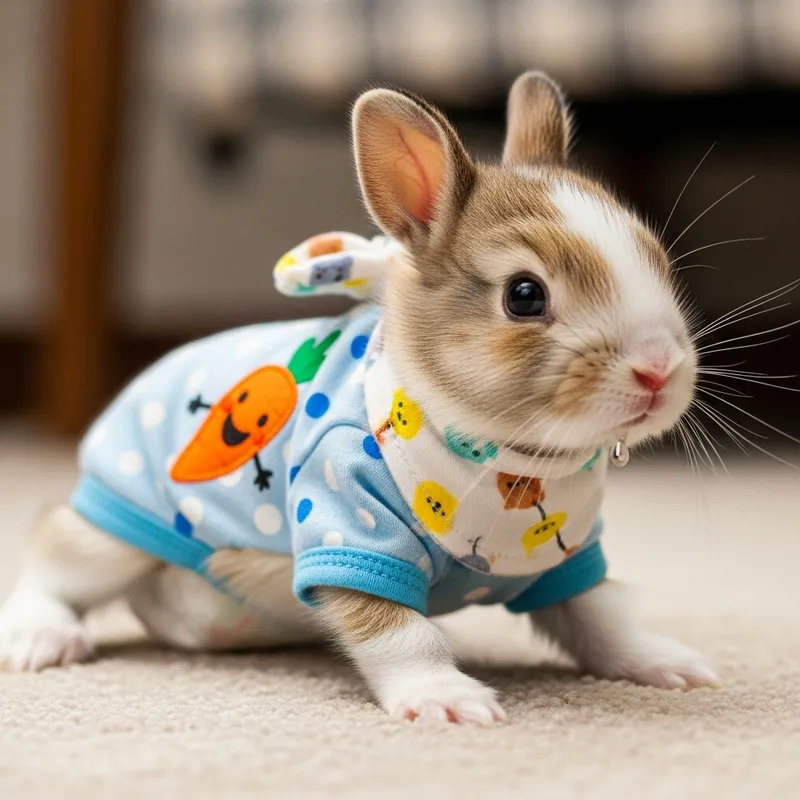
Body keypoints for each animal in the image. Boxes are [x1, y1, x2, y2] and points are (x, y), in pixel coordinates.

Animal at [0, 72, 717, 725]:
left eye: (657, 263)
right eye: (523, 295)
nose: (659, 369)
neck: (500, 459)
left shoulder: (567, 558)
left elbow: (603, 615)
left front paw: (671, 665)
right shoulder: (348, 526)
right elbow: (400, 632)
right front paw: (448, 701)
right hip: (112, 531)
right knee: (50, 563)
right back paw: (39, 640)